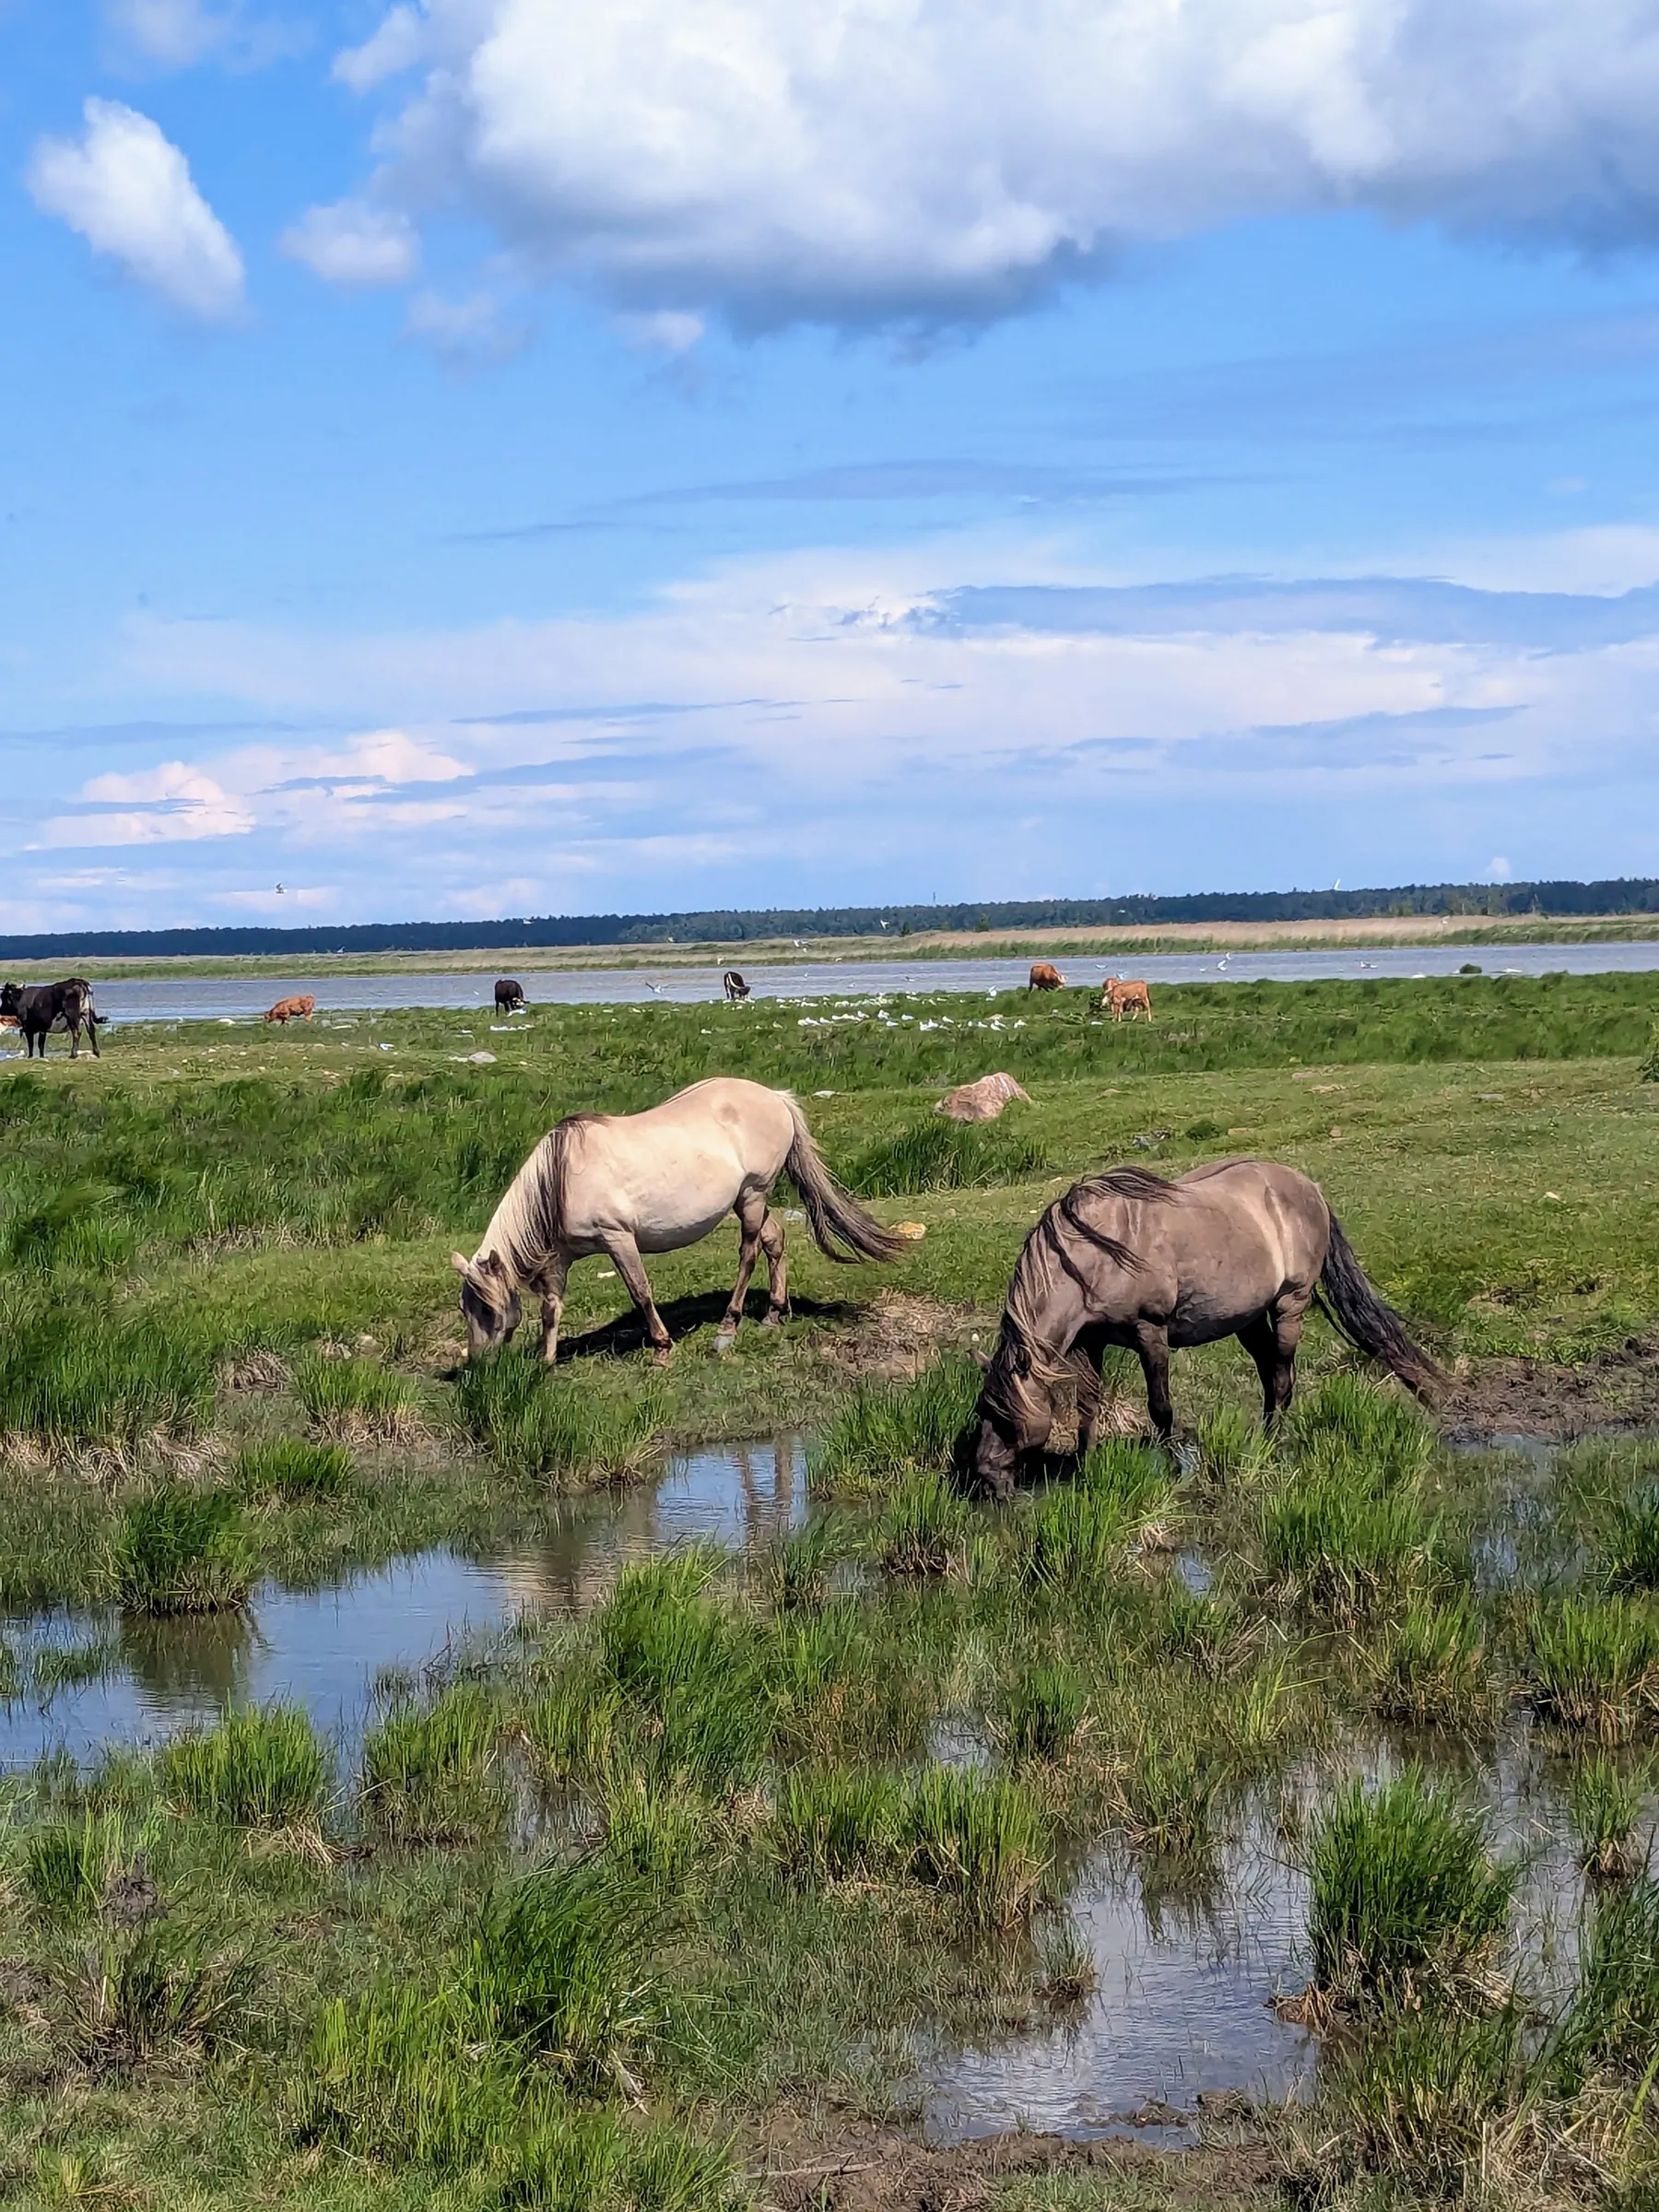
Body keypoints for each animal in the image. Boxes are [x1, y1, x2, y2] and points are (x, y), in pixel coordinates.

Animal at [451, 1076, 905, 1363]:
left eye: (487, 1310)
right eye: (465, 1308)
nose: (479, 1364)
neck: (561, 1177)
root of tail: (775, 1097)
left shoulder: (617, 1239)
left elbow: (640, 1292)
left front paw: (662, 1347)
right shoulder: (559, 1258)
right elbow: (551, 1307)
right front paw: (546, 1362)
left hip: (753, 1195)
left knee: (749, 1253)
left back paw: (728, 1326)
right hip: (749, 1199)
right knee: (775, 1241)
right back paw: (773, 1314)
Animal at [962, 1159, 1440, 1499]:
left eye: (1005, 1416)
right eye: (983, 1409)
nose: (986, 1477)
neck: (1093, 1254)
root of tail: (1310, 1189)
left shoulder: (1150, 1333)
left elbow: (1161, 1409)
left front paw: (1174, 1470)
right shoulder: (1091, 1342)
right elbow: (1087, 1407)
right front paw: (1085, 1466)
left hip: (1290, 1305)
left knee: (1283, 1376)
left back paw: (1272, 1445)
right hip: (1249, 1318)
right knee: (1270, 1375)